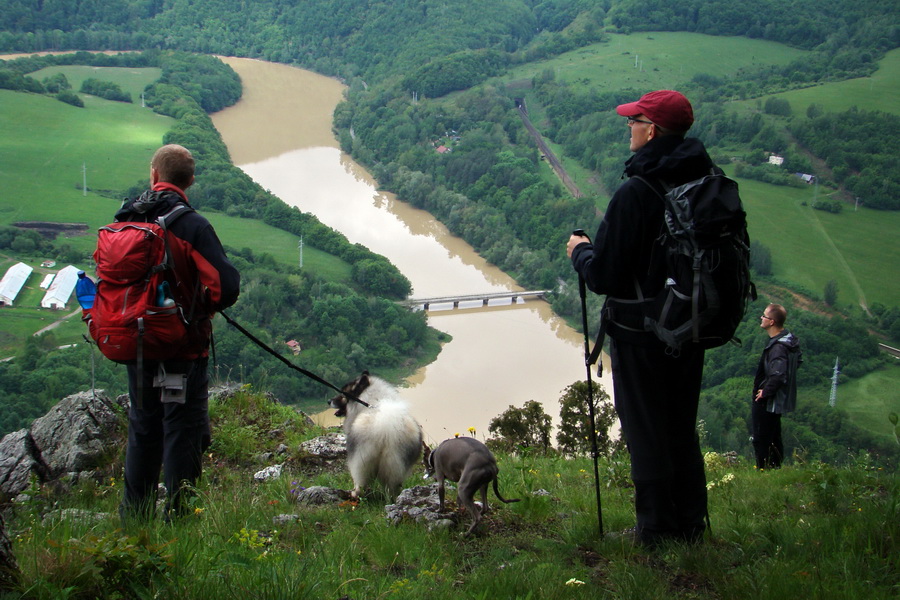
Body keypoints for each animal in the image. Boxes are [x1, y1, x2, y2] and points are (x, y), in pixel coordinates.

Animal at [326, 372, 422, 500]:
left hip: (359, 461)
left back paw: (353, 495)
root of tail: (385, 428)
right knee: (391, 487)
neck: (373, 401)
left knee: (359, 484)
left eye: (343, 394)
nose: (329, 401)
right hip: (396, 463)